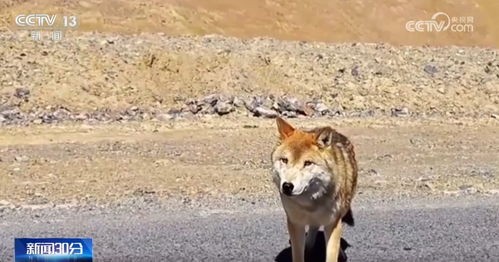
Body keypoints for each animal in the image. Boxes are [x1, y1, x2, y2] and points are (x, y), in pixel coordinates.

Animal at [272, 117, 358, 262]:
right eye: (284, 160)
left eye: (307, 163)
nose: (287, 186)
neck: (310, 203)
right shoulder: (295, 223)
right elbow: (298, 255)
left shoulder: (332, 223)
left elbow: (331, 254)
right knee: (313, 227)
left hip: (343, 209)